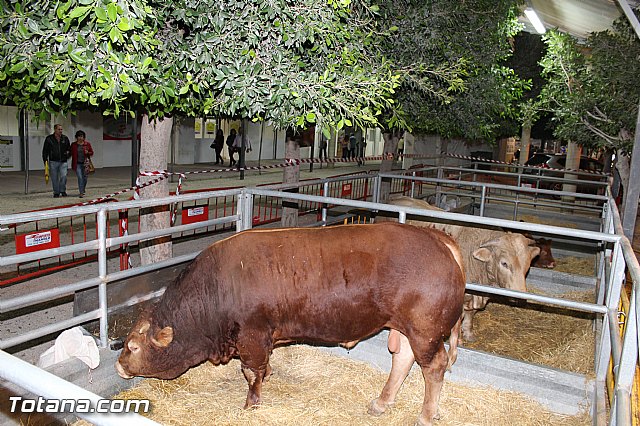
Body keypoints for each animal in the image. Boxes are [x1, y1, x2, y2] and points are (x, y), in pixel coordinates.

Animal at [115, 223, 464, 426]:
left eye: (133, 345)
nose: (118, 365)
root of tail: (437, 237)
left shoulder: (252, 336)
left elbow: (251, 372)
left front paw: (252, 403)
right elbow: (262, 369)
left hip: (425, 330)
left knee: (434, 366)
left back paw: (426, 415)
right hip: (405, 327)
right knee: (402, 359)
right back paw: (382, 402)